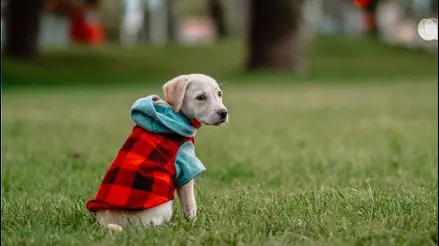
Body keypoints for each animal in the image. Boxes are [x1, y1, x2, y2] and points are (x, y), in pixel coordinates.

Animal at [87, 73, 230, 231]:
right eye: (201, 97)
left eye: (219, 94)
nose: (224, 113)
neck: (175, 116)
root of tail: (108, 222)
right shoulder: (185, 167)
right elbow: (190, 204)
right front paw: (193, 223)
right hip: (164, 206)